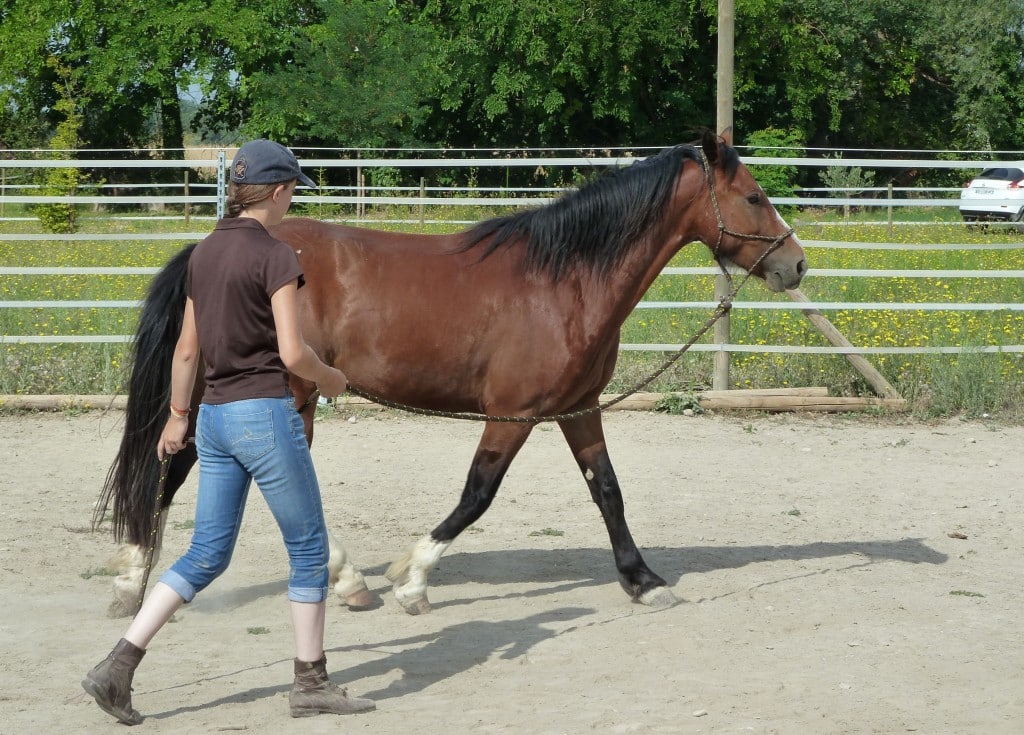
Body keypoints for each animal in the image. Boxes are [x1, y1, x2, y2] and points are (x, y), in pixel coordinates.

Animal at [94, 131, 806, 614]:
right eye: (754, 196)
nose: (795, 264)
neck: (564, 283)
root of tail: (211, 248)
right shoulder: (513, 414)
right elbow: (477, 494)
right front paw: (413, 578)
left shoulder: (577, 408)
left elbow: (608, 491)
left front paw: (643, 580)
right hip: (283, 395)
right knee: (204, 468)